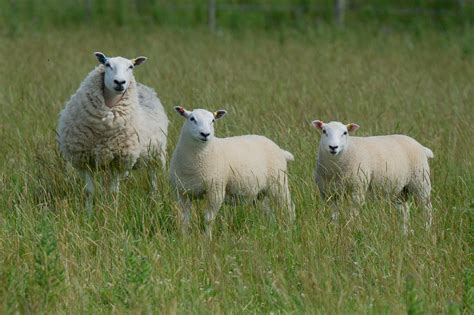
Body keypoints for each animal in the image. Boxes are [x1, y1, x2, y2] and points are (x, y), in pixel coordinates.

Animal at [57, 51, 168, 211]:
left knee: (153, 180)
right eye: (107, 64)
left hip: (156, 155)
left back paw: (154, 200)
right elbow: (89, 192)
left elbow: (114, 192)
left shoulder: (119, 161)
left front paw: (113, 211)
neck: (104, 126)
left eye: (131, 66)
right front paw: (88, 213)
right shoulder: (84, 160)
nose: (120, 82)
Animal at [170, 106, 296, 237]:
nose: (205, 134)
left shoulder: (216, 190)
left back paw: (290, 229)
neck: (193, 165)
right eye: (192, 119)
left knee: (289, 207)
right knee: (268, 212)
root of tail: (281, 151)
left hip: (279, 183)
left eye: (213, 120)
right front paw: (184, 238)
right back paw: (271, 230)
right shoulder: (181, 193)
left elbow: (208, 219)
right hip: (261, 193)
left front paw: (207, 239)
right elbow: (184, 219)